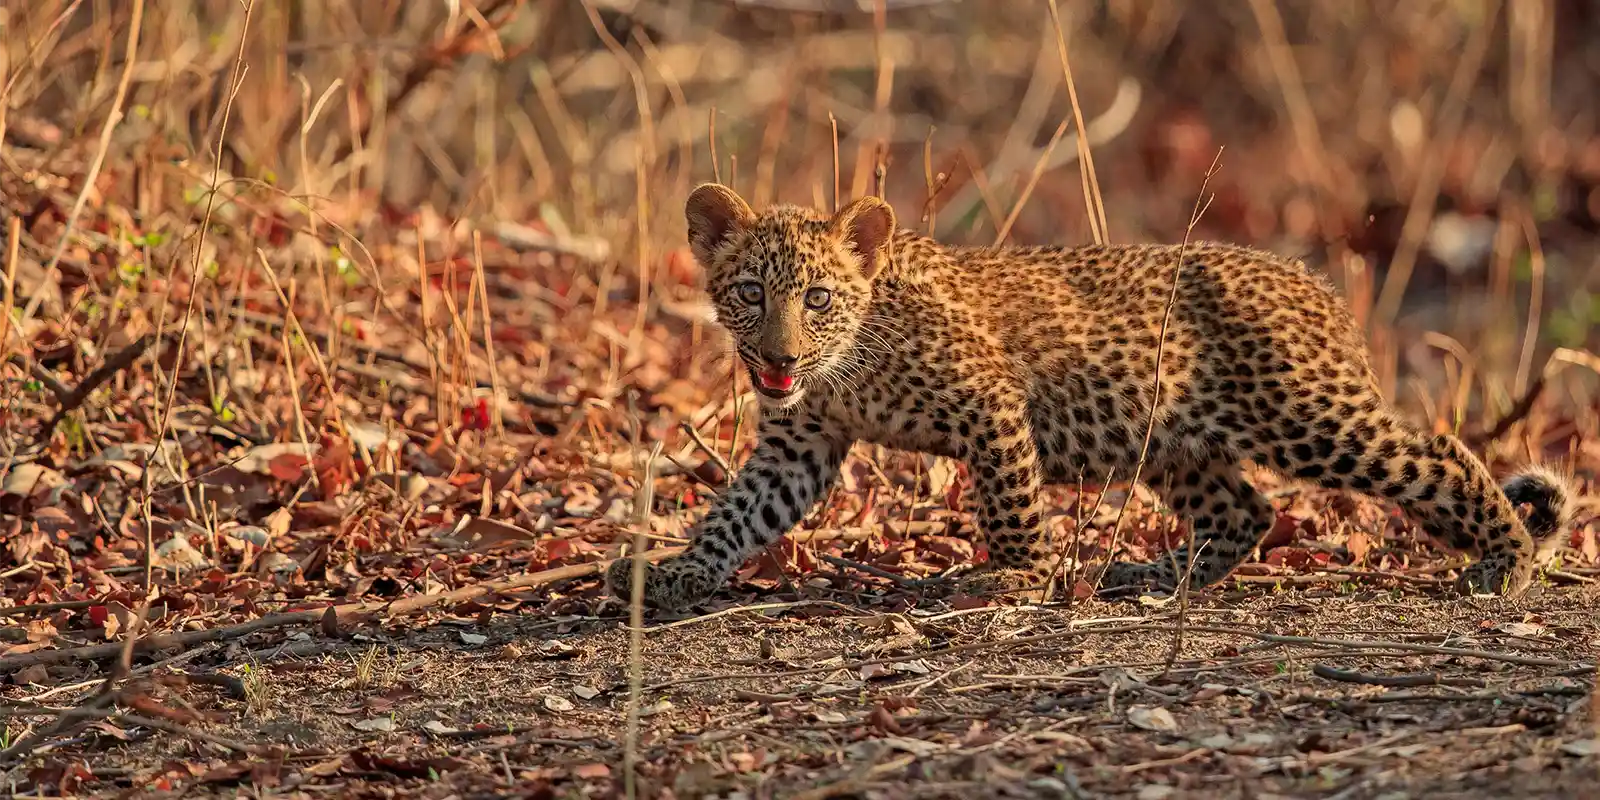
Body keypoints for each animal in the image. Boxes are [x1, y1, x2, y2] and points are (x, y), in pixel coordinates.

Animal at [605, 182, 1577, 612]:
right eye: (749, 293)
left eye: (817, 297)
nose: (776, 356)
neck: (849, 362)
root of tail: (1317, 286)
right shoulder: (799, 442)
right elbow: (739, 511)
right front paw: (676, 568)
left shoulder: (989, 403)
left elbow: (1009, 503)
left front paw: (1018, 575)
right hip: (1181, 442)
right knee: (1246, 512)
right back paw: (1146, 574)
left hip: (1308, 416)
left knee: (1436, 454)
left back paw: (1508, 560)